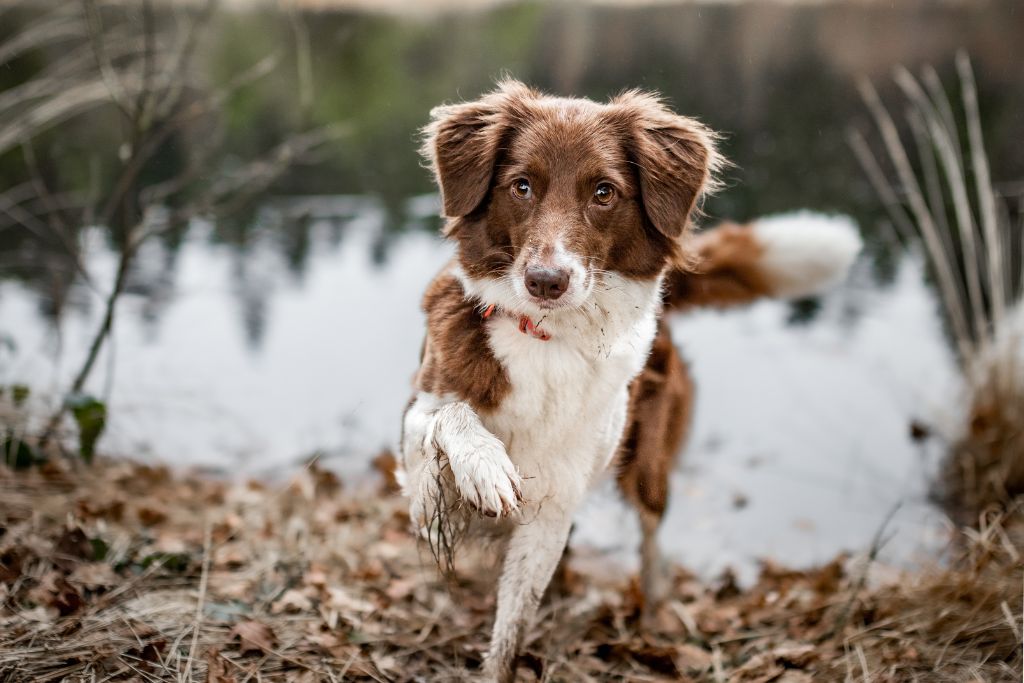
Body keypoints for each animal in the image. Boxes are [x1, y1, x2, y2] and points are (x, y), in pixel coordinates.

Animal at [395, 81, 860, 683]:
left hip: (647, 469)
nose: (546, 281)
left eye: (604, 193)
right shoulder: (415, 448)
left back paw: (655, 607)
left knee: (651, 535)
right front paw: (485, 466)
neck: (547, 336)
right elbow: (450, 418)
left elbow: (513, 627)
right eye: (521, 186)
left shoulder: (554, 506)